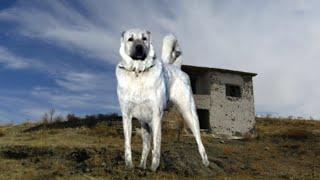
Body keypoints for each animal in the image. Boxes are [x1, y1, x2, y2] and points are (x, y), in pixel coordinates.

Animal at [116, 28, 209, 171]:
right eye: (130, 39)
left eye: (144, 38)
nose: (139, 48)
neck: (138, 72)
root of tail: (176, 67)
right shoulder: (127, 115)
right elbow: (128, 145)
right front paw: (129, 166)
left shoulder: (156, 115)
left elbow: (156, 146)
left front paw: (154, 168)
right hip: (144, 123)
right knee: (146, 147)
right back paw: (142, 166)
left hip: (189, 114)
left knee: (199, 140)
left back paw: (205, 163)